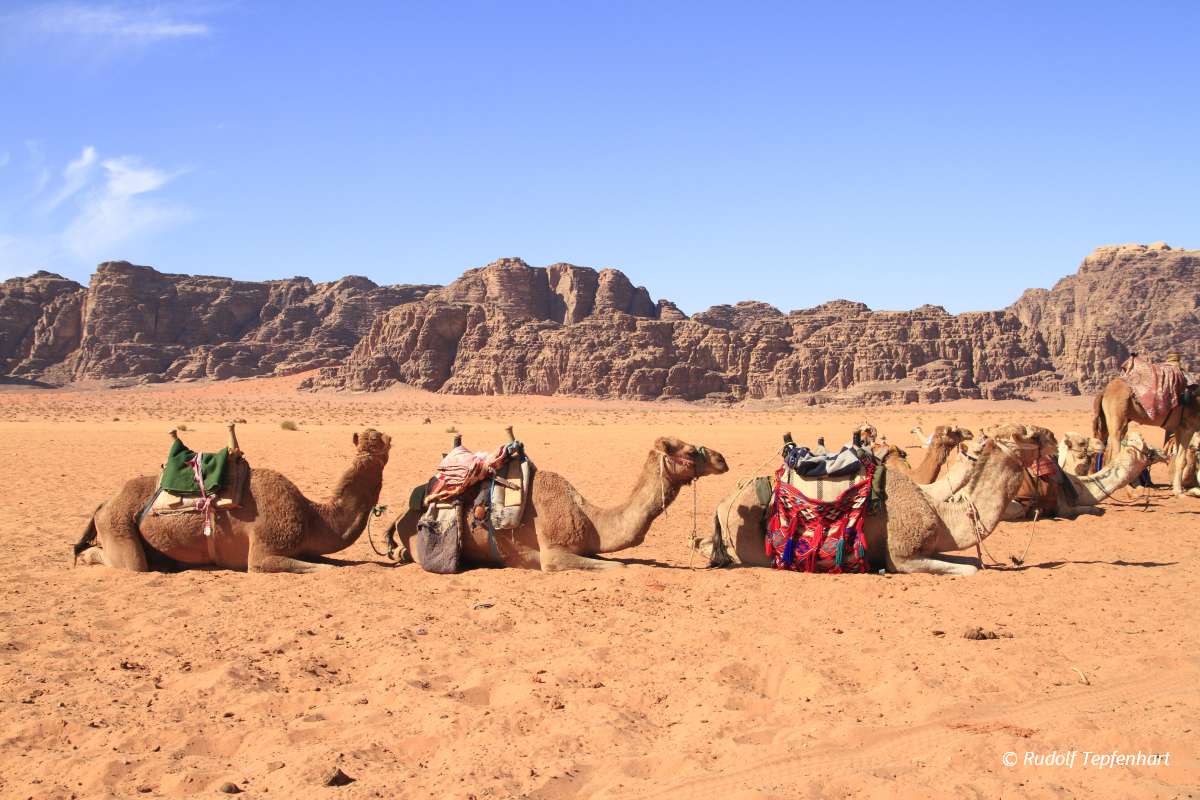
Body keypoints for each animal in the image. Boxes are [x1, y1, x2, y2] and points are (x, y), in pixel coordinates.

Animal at [75, 428, 392, 573]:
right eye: (374, 442)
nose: (382, 438)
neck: (312, 515)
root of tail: (103, 504)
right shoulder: (263, 554)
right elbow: (324, 569)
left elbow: (328, 562)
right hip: (118, 526)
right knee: (129, 563)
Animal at [697, 424, 1057, 576]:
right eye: (1032, 434)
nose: (1054, 440)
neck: (938, 510)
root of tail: (722, 504)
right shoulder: (903, 556)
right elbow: (971, 570)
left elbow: (973, 561)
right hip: (751, 548)